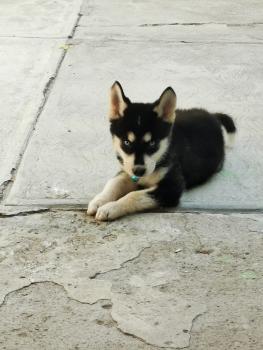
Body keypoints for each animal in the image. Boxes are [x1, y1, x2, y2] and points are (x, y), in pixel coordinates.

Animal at [88, 81, 237, 221]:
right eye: (127, 142)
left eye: (152, 143)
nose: (139, 171)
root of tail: (213, 116)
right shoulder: (126, 170)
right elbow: (113, 183)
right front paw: (99, 201)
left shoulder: (171, 188)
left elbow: (133, 195)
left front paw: (110, 208)